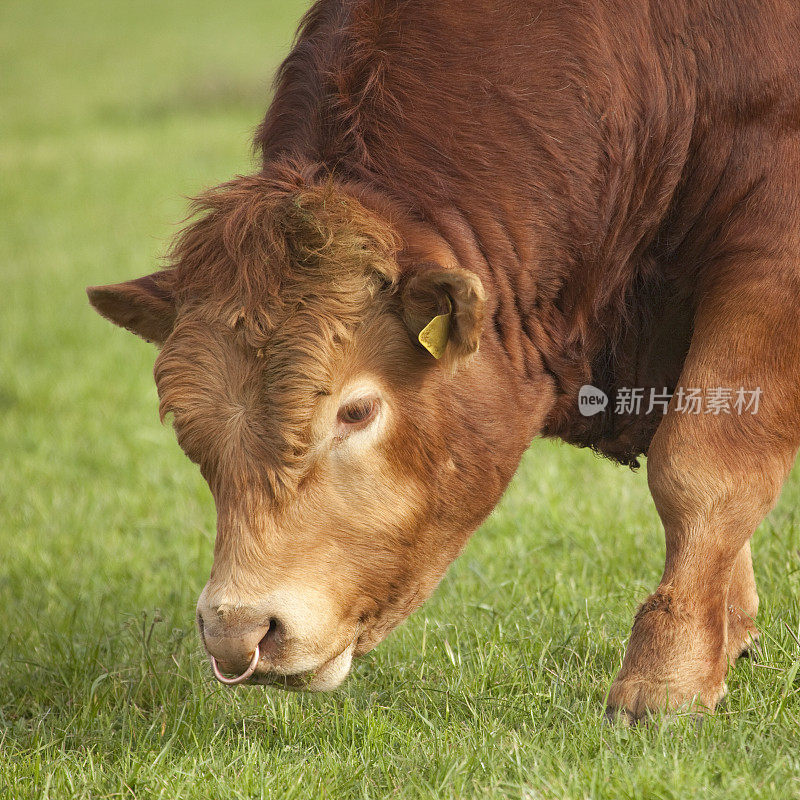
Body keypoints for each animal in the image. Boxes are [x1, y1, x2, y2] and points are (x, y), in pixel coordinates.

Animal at [86, 0, 800, 720]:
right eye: (190, 432)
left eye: (357, 411)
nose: (237, 632)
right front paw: (726, 633)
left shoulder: (768, 261)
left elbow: (700, 470)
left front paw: (665, 676)